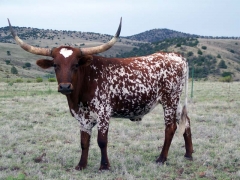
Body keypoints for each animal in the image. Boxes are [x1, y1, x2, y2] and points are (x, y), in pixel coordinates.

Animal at [8, 18, 194, 170]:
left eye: (76, 64)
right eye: (55, 65)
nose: (65, 87)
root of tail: (177, 56)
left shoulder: (104, 113)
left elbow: (101, 141)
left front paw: (104, 166)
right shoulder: (82, 117)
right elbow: (84, 142)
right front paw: (81, 165)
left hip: (169, 99)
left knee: (170, 127)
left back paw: (161, 159)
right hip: (175, 101)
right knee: (186, 122)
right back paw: (189, 154)